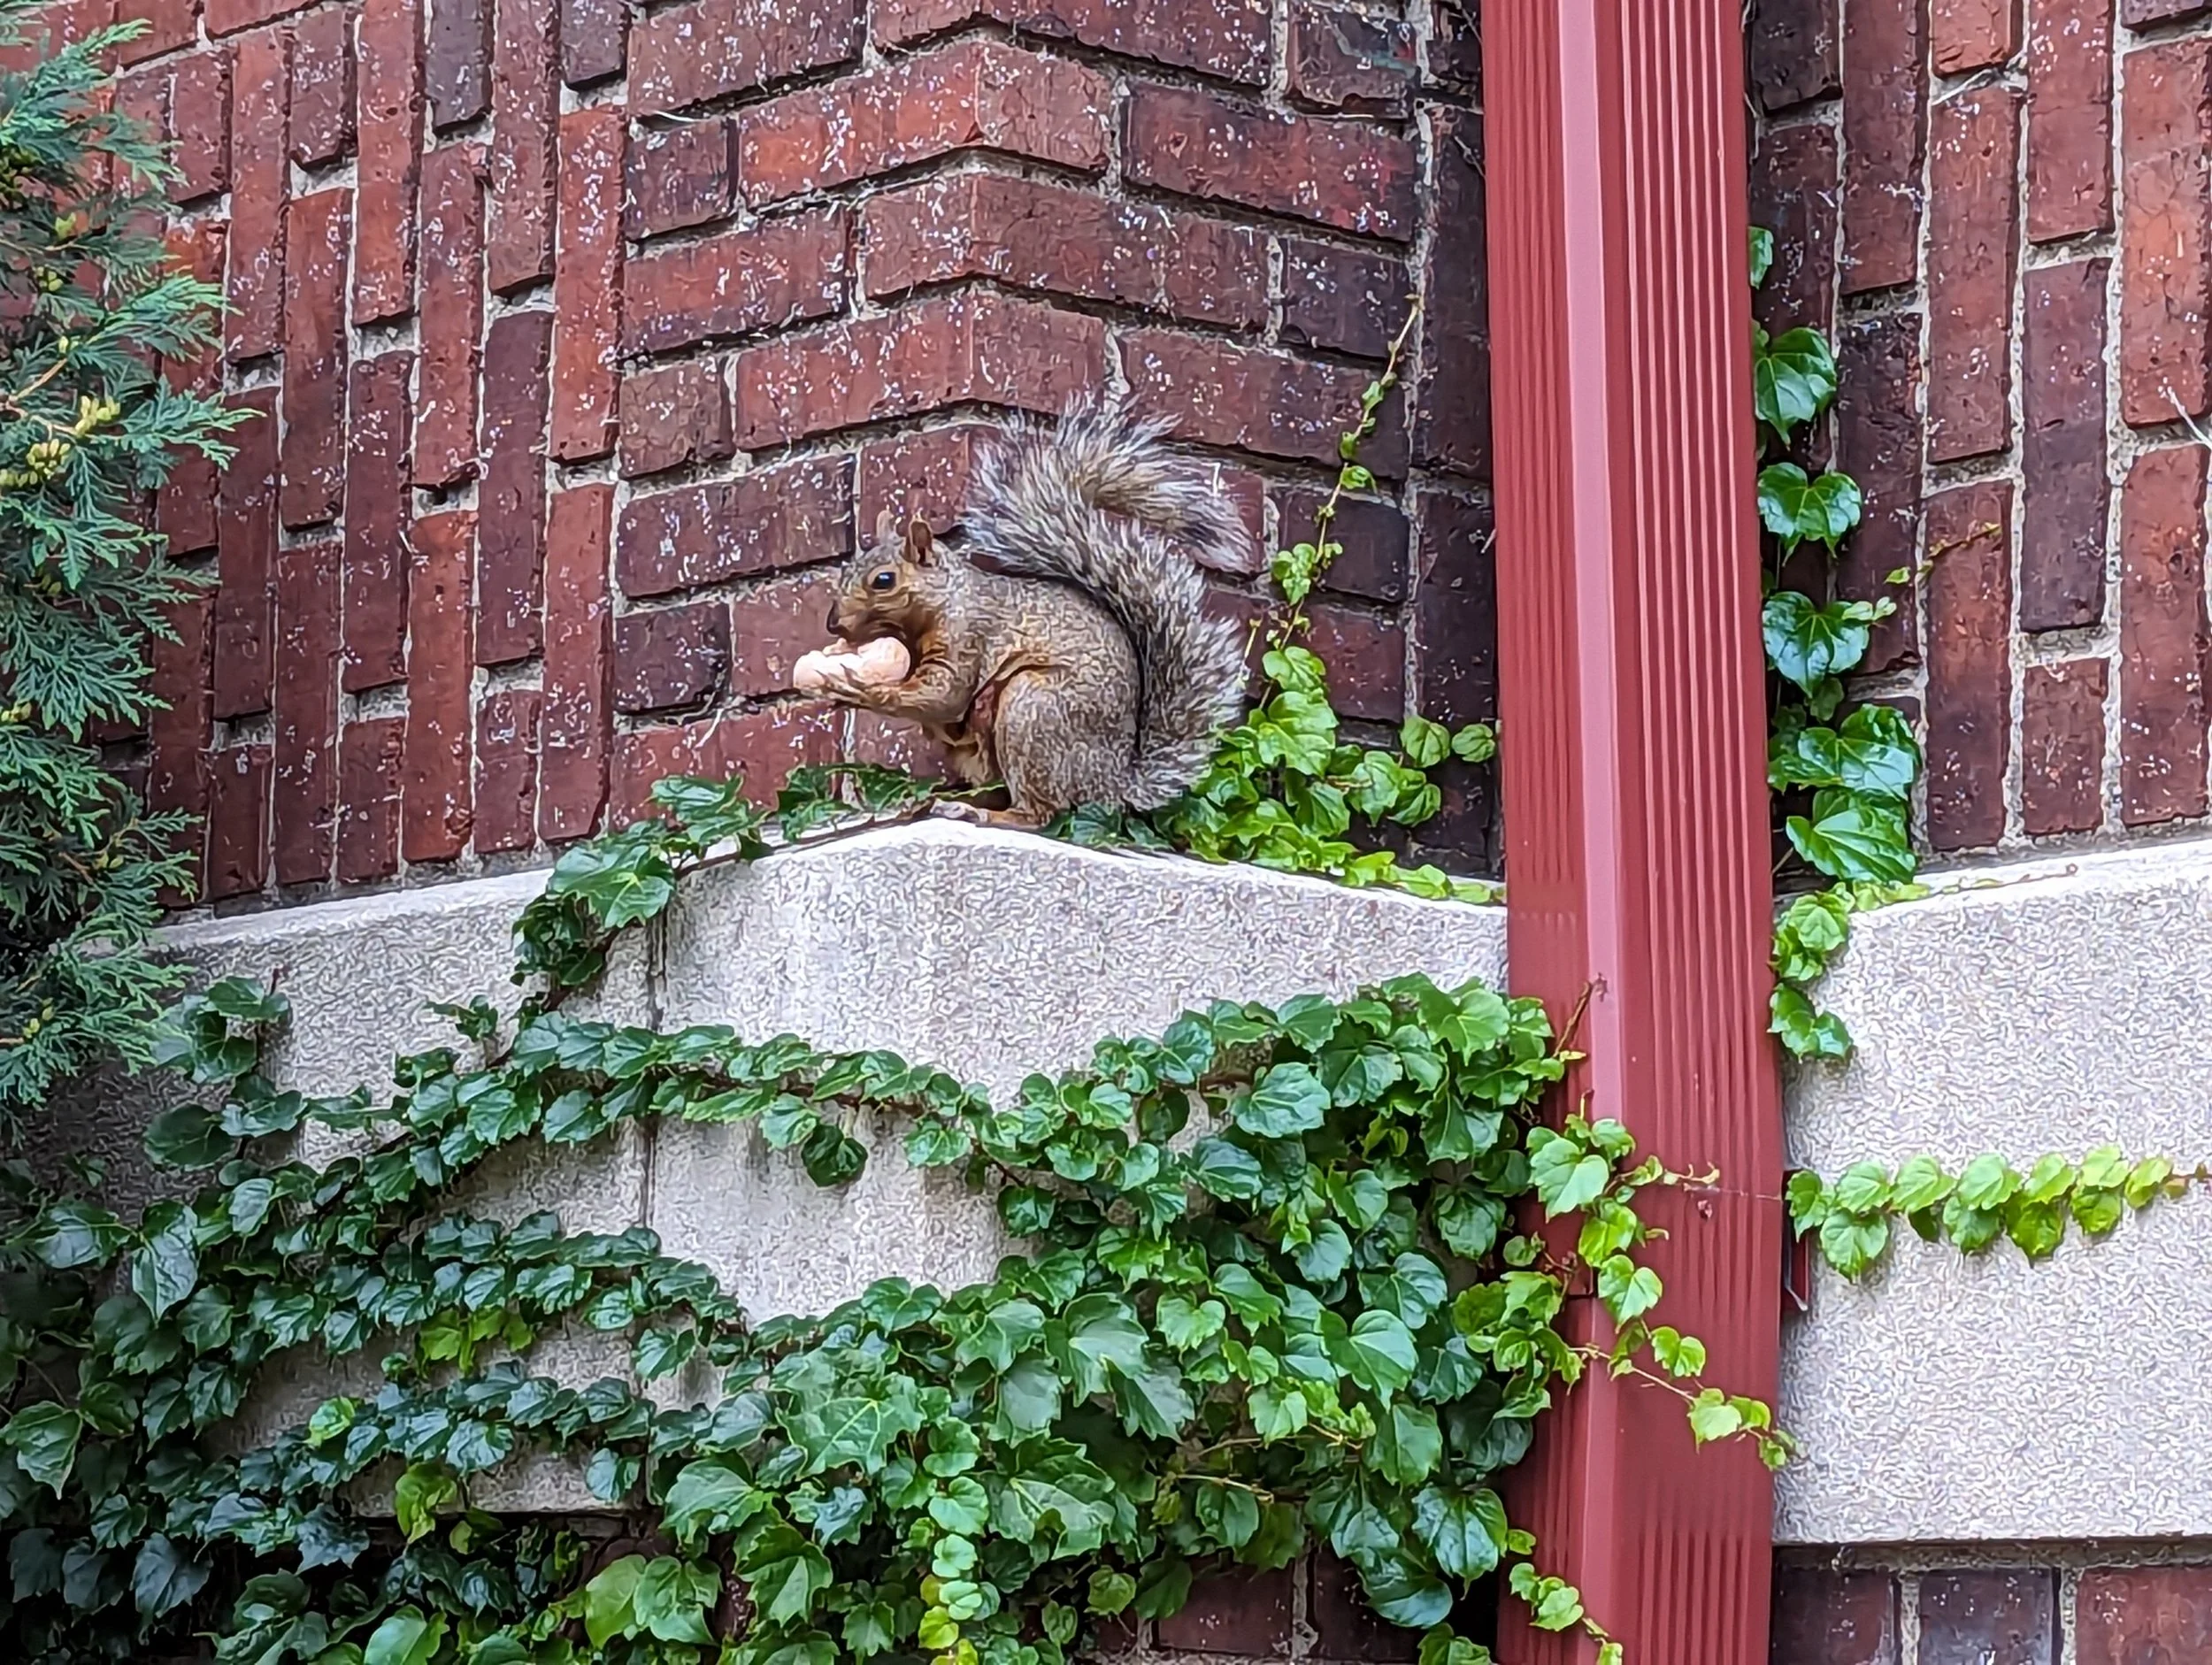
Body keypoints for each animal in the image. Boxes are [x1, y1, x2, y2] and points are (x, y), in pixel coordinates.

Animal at [810, 393, 1251, 827]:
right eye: (847, 570)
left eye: (883, 581)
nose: (832, 623)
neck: (946, 600)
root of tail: (1113, 786)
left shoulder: (969, 635)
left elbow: (945, 694)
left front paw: (862, 690)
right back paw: (941, 800)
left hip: (1032, 711)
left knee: (1038, 813)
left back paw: (981, 812)